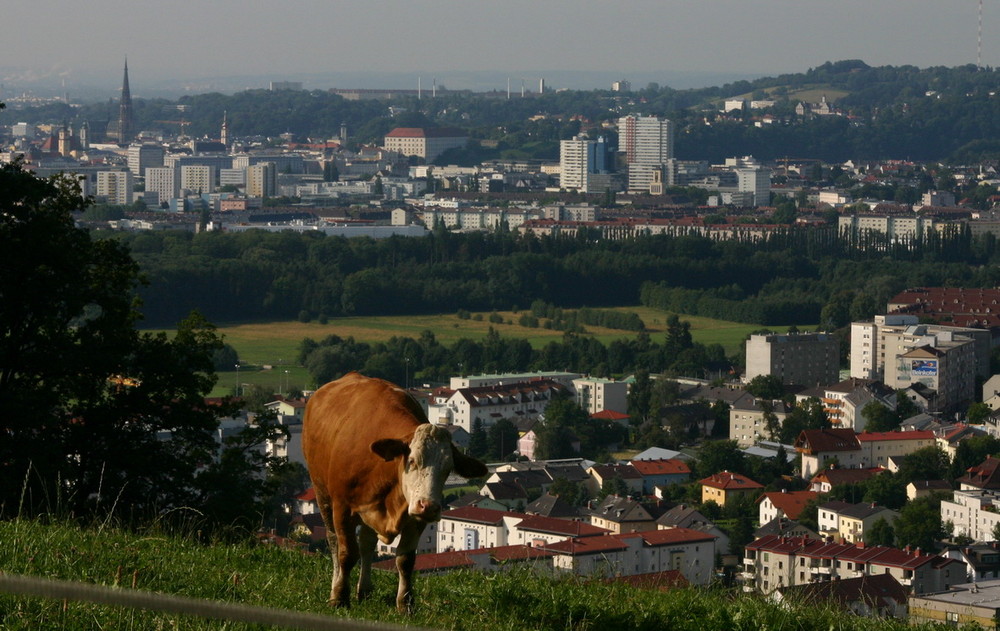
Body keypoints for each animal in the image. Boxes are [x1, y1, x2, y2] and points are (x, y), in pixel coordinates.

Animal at [302, 372, 486, 608]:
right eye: (412, 460)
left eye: (448, 470)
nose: (429, 506)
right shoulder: (342, 508)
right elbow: (346, 554)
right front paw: (340, 597)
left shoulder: (414, 517)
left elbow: (405, 560)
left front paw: (405, 603)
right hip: (322, 494)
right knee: (334, 541)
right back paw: (336, 585)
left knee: (367, 544)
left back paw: (365, 590)